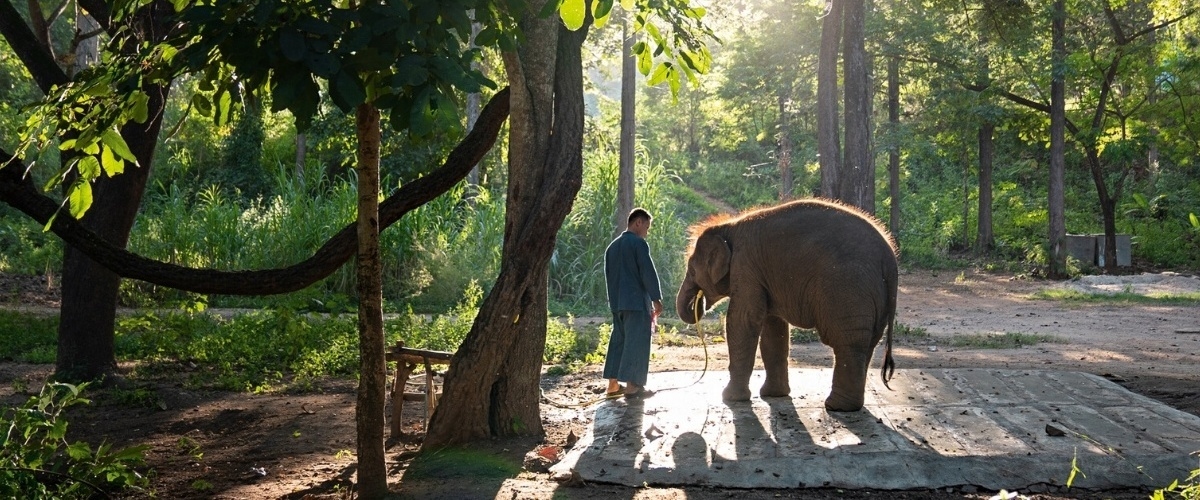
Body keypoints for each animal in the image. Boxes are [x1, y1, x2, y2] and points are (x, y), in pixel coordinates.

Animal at [675, 198, 898, 411]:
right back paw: (849, 406)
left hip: (847, 289)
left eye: (692, 270)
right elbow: (773, 328)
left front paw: (730, 398)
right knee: (867, 343)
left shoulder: (745, 267)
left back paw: (837, 407)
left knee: (847, 342)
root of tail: (890, 258)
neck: (729, 226)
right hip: (874, 298)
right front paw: (773, 395)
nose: (698, 305)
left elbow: (742, 321)